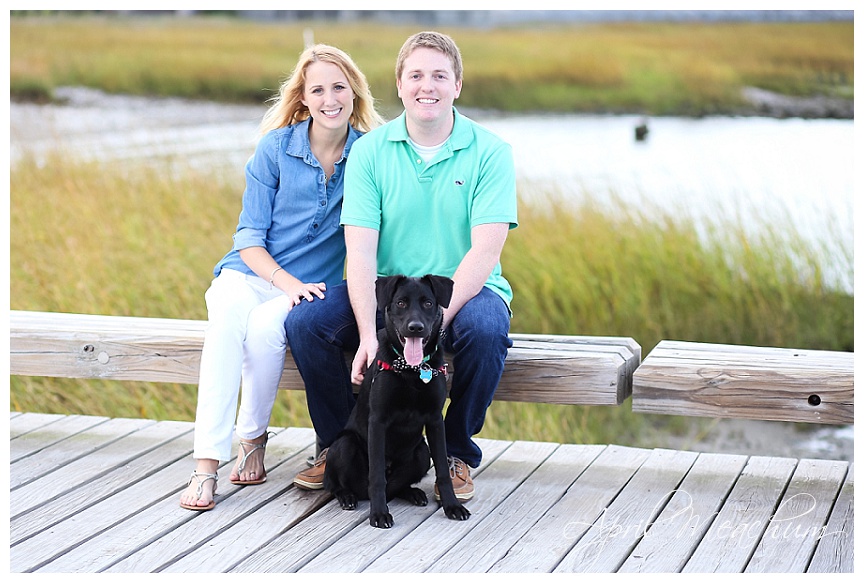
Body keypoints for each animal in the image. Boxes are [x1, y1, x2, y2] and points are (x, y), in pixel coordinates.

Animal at [324, 274, 472, 528]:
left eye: (428, 303)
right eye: (401, 303)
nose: (415, 328)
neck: (412, 370)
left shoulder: (435, 420)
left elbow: (443, 470)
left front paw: (452, 506)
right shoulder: (378, 421)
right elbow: (376, 477)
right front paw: (379, 514)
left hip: (422, 451)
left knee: (396, 486)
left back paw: (413, 492)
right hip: (345, 444)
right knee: (340, 485)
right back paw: (347, 497)